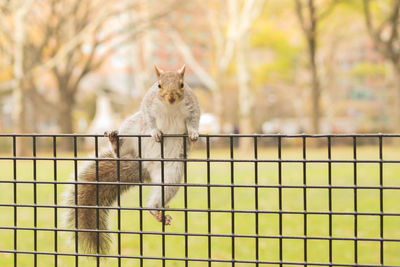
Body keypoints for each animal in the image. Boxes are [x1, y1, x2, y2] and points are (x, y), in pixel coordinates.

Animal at [63, 65, 202, 255]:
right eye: (158, 85)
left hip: (170, 175)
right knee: (122, 150)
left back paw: (155, 211)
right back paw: (115, 143)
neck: (170, 107)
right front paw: (155, 132)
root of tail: (144, 164)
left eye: (182, 84)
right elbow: (150, 119)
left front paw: (193, 133)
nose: (171, 98)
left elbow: (194, 120)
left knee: (159, 195)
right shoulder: (148, 105)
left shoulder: (192, 106)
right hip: (132, 127)